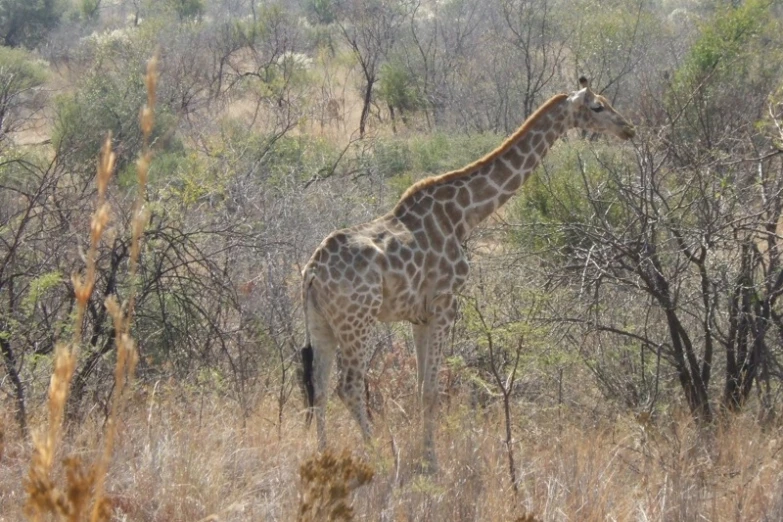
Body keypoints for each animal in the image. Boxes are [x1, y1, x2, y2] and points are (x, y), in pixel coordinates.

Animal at [300, 77, 636, 468]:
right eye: (598, 106)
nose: (628, 128)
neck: (463, 214)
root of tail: (313, 272)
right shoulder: (446, 304)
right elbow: (432, 390)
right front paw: (431, 462)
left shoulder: (419, 315)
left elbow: (420, 387)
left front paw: (424, 454)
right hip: (359, 321)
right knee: (349, 386)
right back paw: (379, 457)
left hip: (320, 323)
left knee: (319, 388)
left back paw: (323, 455)